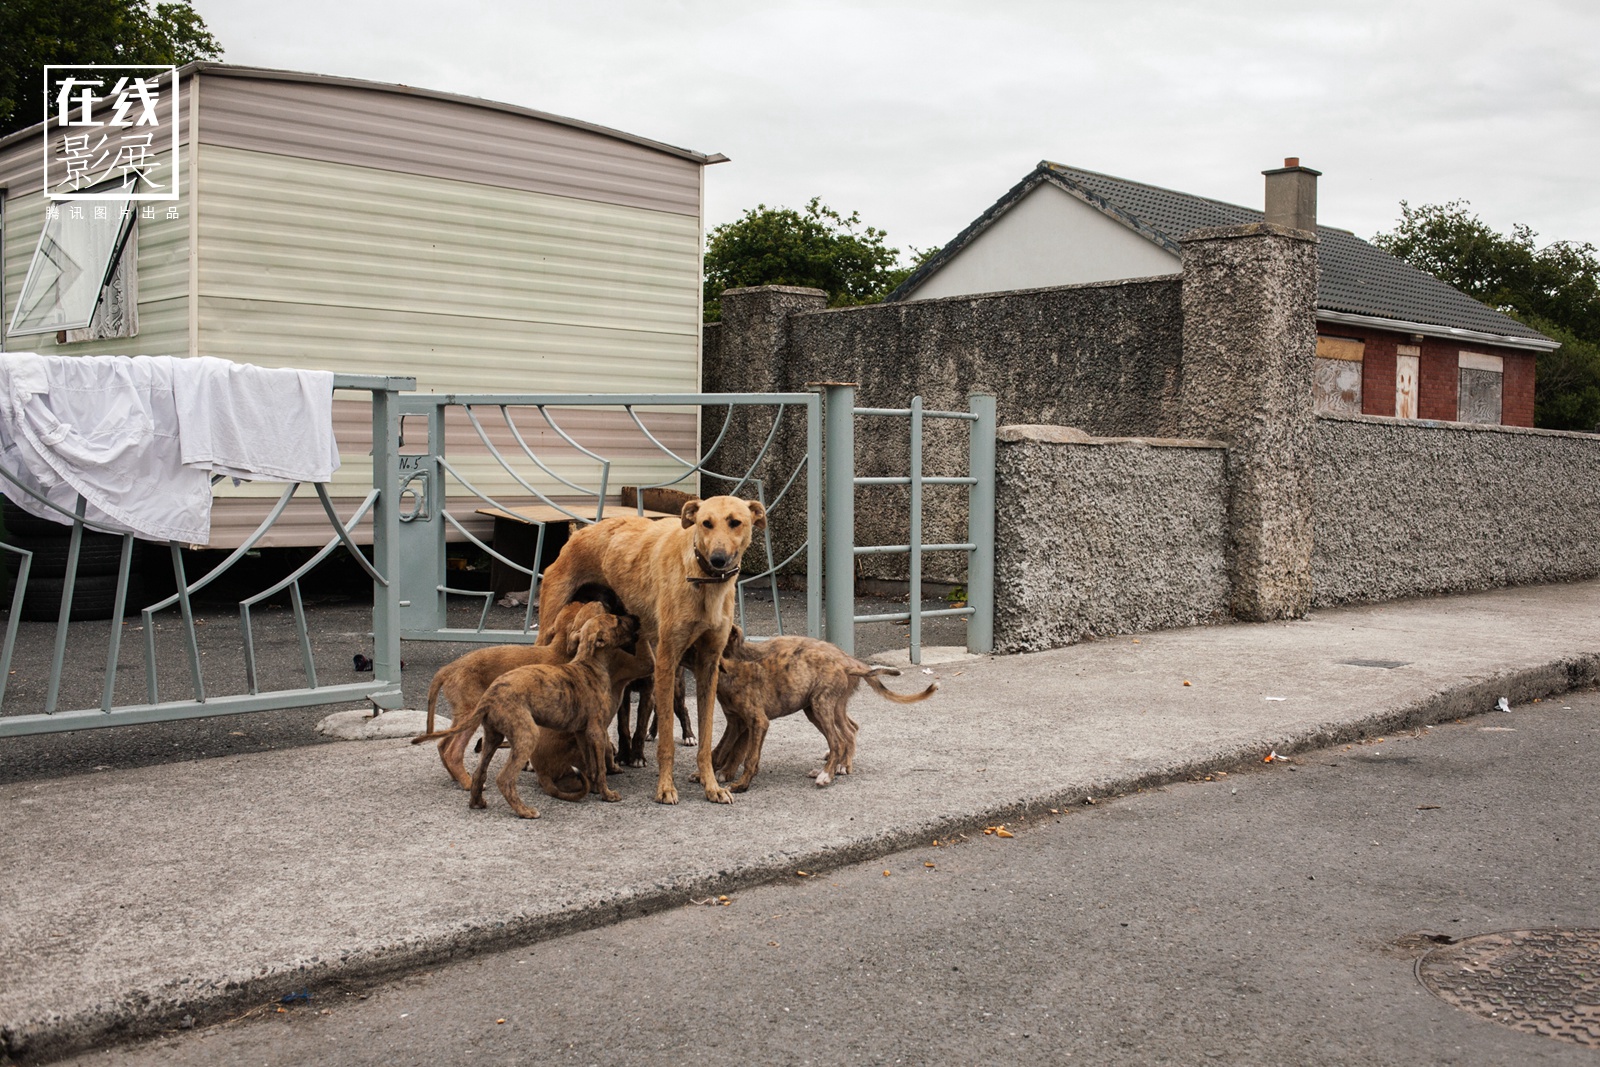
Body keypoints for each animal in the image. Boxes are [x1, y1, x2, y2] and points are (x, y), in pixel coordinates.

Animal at [534, 495, 764, 806]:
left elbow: (705, 740)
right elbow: (665, 740)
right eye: (706, 523)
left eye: (735, 522)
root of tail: (580, 533)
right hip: (547, 632)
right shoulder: (665, 661)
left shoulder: (708, 666)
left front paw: (712, 786)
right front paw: (665, 788)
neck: (701, 581)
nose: (718, 559)